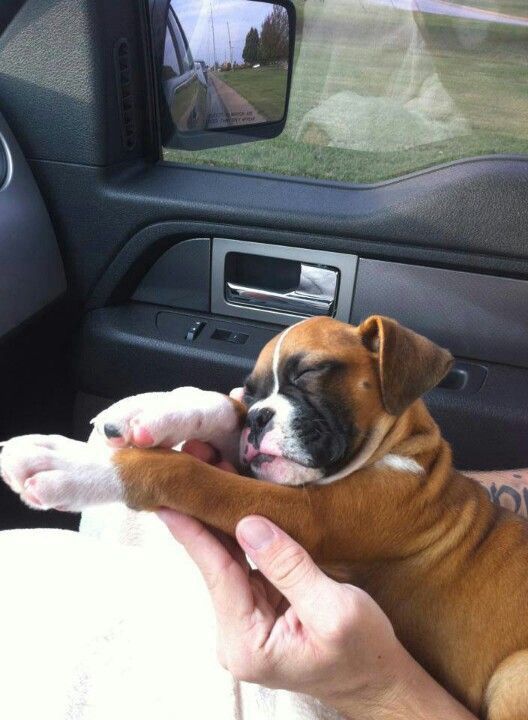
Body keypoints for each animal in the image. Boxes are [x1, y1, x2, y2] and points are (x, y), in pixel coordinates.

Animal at [1, 316, 528, 720]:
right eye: (253, 393)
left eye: (310, 371)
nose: (258, 418)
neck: (403, 449)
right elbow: (220, 405)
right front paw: (151, 410)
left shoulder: (305, 514)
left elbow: (186, 473)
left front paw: (71, 463)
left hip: (513, 675)